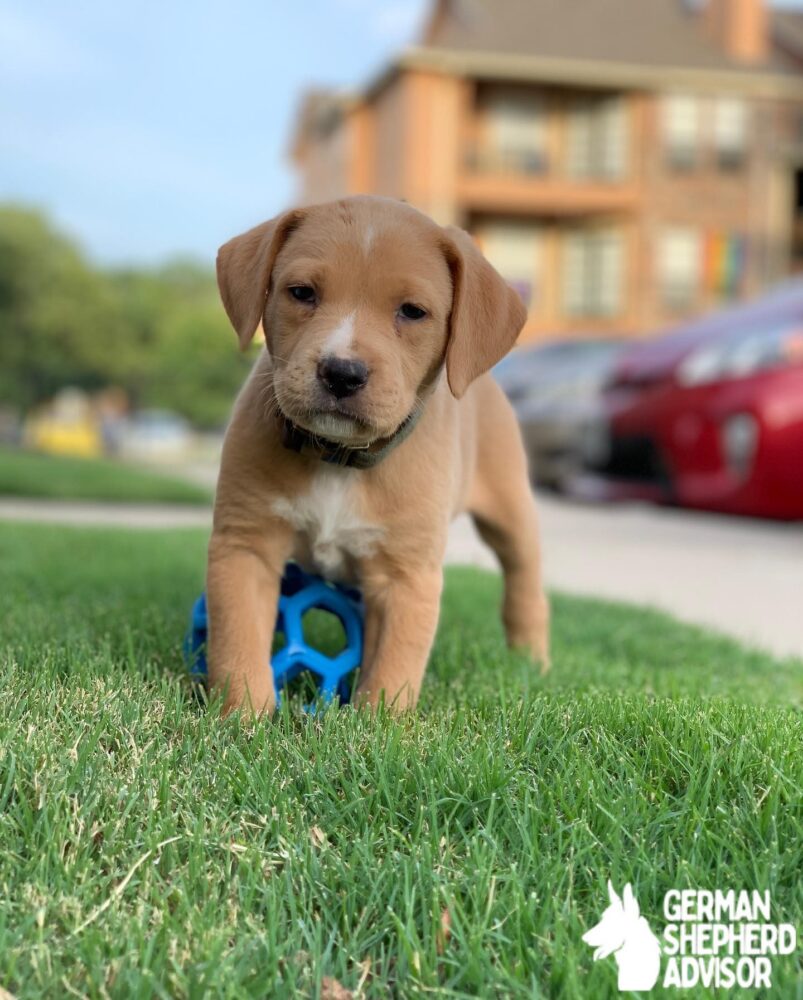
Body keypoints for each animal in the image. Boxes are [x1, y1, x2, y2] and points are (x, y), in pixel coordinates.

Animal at [207, 193, 548, 712]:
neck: (338, 459)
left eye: (412, 311)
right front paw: (241, 718)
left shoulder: (406, 577)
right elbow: (237, 641)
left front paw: (377, 728)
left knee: (525, 579)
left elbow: (392, 669)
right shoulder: (245, 545)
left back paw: (531, 658)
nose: (341, 372)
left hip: (511, 510)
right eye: (301, 293)